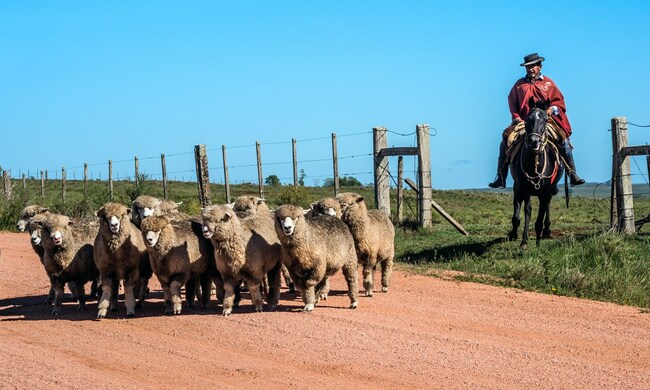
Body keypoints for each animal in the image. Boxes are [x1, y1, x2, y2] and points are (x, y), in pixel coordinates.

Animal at [506, 105, 560, 248]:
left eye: (545, 120)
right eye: (526, 120)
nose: (534, 142)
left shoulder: (544, 193)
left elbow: (539, 218)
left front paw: (537, 243)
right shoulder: (523, 190)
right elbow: (524, 212)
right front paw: (522, 240)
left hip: (549, 191)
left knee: (547, 205)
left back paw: (546, 231)